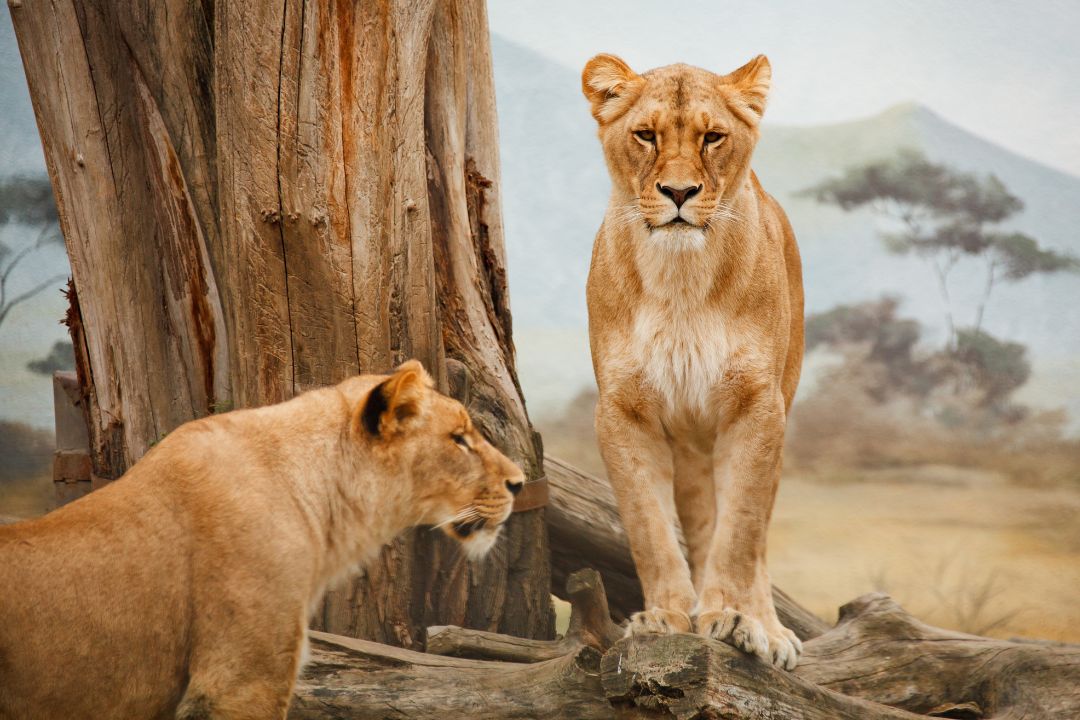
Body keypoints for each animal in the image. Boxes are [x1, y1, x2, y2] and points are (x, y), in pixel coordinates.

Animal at [581, 54, 805, 669]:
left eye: (712, 137)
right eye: (645, 135)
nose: (679, 192)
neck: (680, 278)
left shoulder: (757, 408)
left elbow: (741, 533)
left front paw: (732, 618)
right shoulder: (623, 413)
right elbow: (649, 528)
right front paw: (666, 616)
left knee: (756, 536)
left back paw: (768, 629)